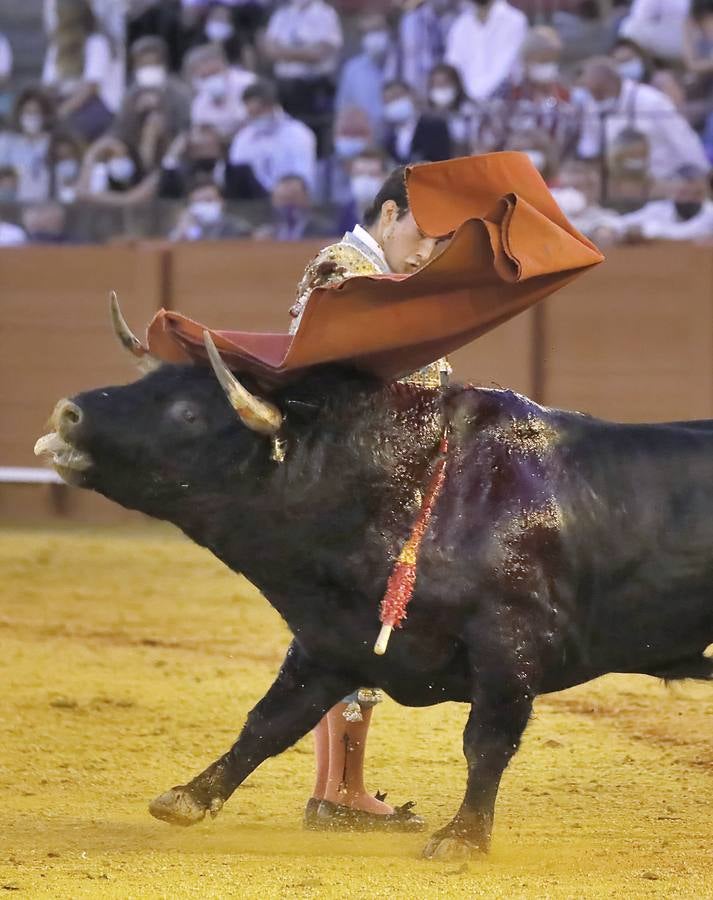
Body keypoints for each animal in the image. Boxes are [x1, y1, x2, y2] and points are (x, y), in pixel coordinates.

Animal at [37, 360, 712, 856]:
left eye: (187, 411)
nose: (68, 413)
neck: (412, 486)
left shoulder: (508, 641)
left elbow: (486, 741)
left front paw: (462, 839)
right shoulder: (331, 640)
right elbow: (270, 722)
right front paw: (190, 797)